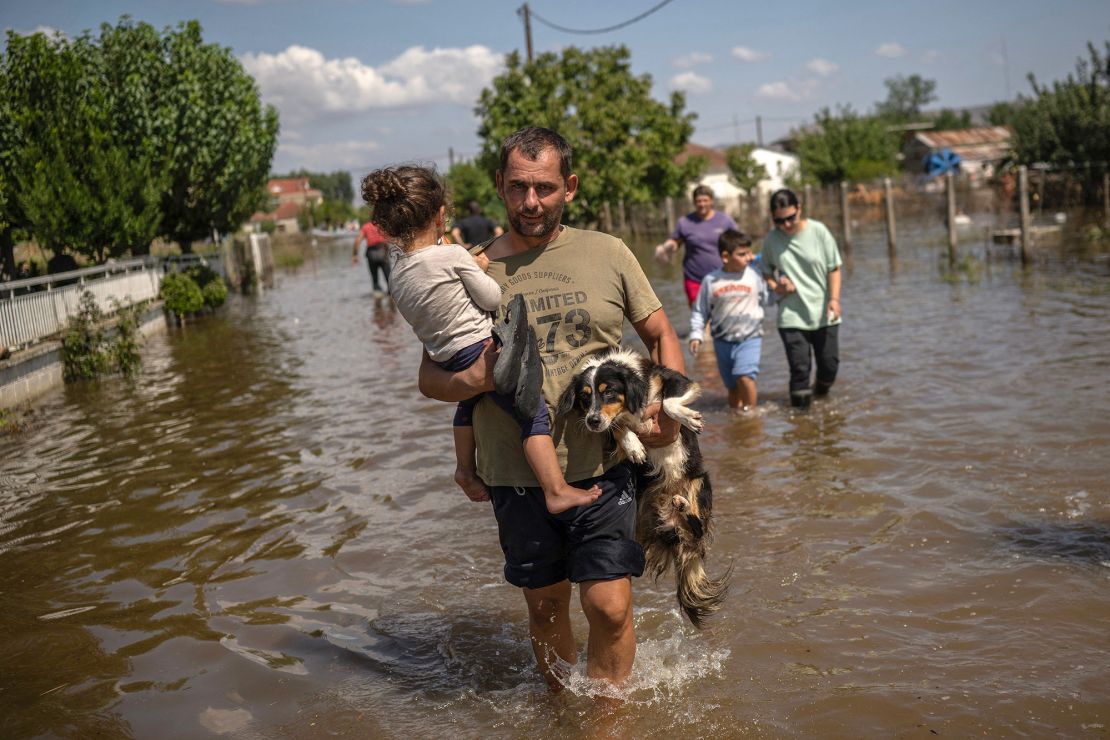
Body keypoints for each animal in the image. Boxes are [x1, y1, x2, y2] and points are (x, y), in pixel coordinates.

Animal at [559, 350, 732, 630]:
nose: (592, 421)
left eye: (609, 392)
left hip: (700, 482)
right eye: (585, 397)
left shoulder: (675, 380)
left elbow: (668, 403)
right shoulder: (611, 426)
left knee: (698, 526)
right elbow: (619, 428)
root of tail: (672, 529)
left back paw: (683, 505)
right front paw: (633, 446)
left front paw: (688, 418)